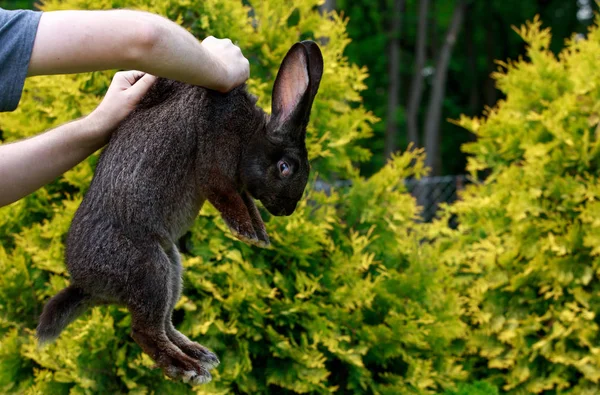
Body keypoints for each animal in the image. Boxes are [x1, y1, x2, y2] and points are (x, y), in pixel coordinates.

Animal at [35, 41, 324, 386]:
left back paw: (201, 355)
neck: (249, 134)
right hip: (148, 269)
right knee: (143, 331)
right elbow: (227, 196)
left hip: (172, 267)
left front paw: (259, 234)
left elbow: (247, 202)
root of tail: (87, 284)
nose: (286, 210)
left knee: (164, 323)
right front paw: (248, 233)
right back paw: (187, 369)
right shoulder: (215, 164)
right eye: (285, 168)